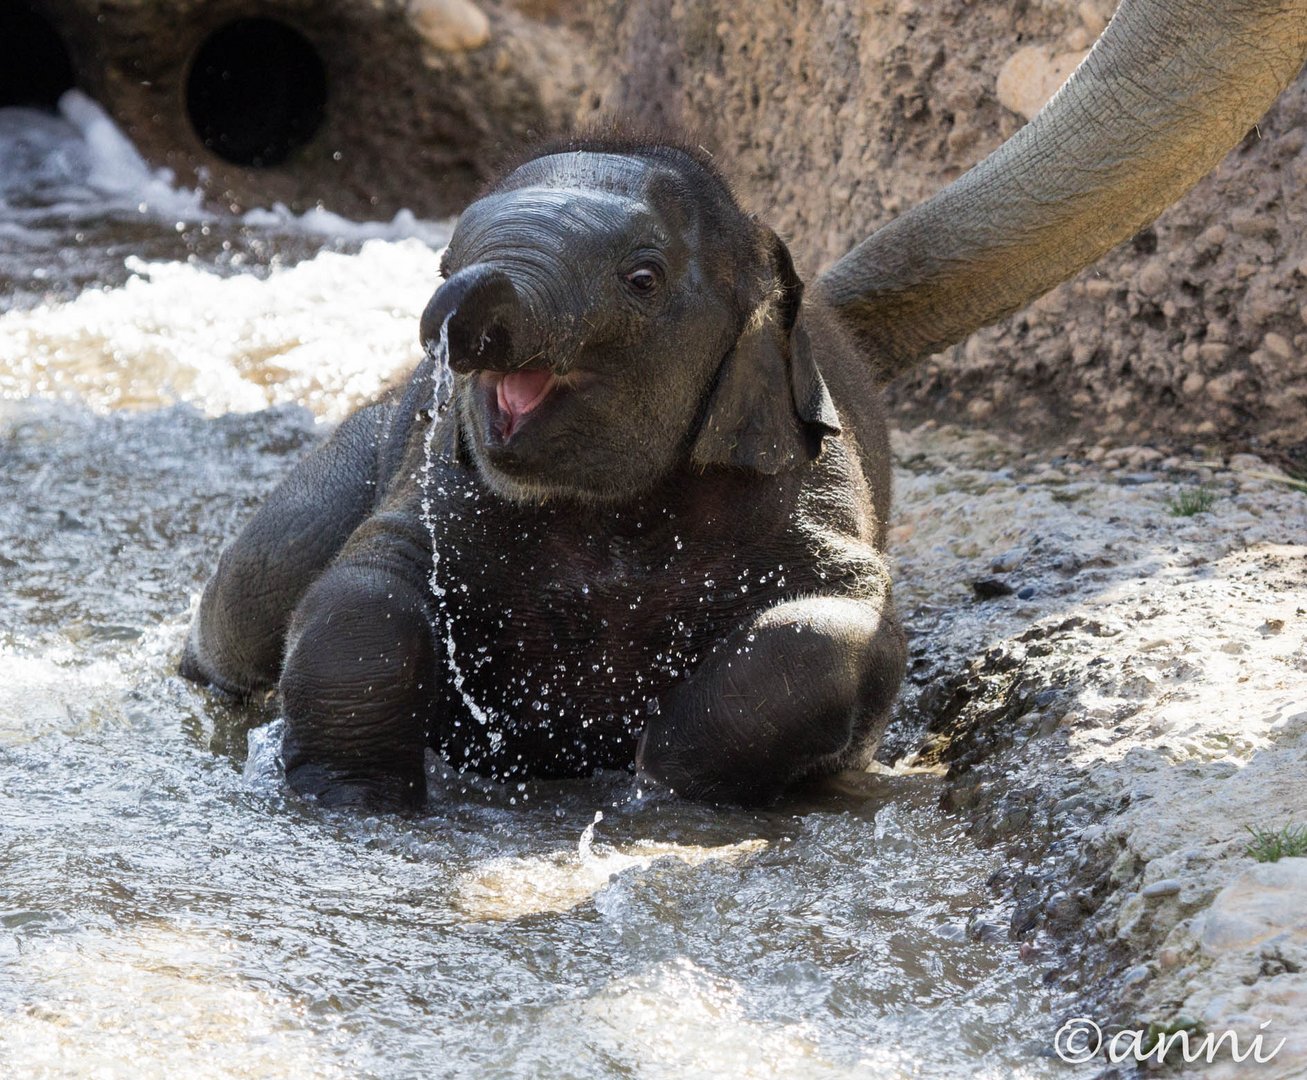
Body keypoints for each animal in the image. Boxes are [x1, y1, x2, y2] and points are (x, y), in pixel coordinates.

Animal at [181, 134, 909, 805]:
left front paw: (655, 779)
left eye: (642, 279)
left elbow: (833, 625)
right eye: (442, 264)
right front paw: (352, 798)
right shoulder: (441, 475)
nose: (459, 295)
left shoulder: (806, 482)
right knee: (260, 582)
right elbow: (364, 585)